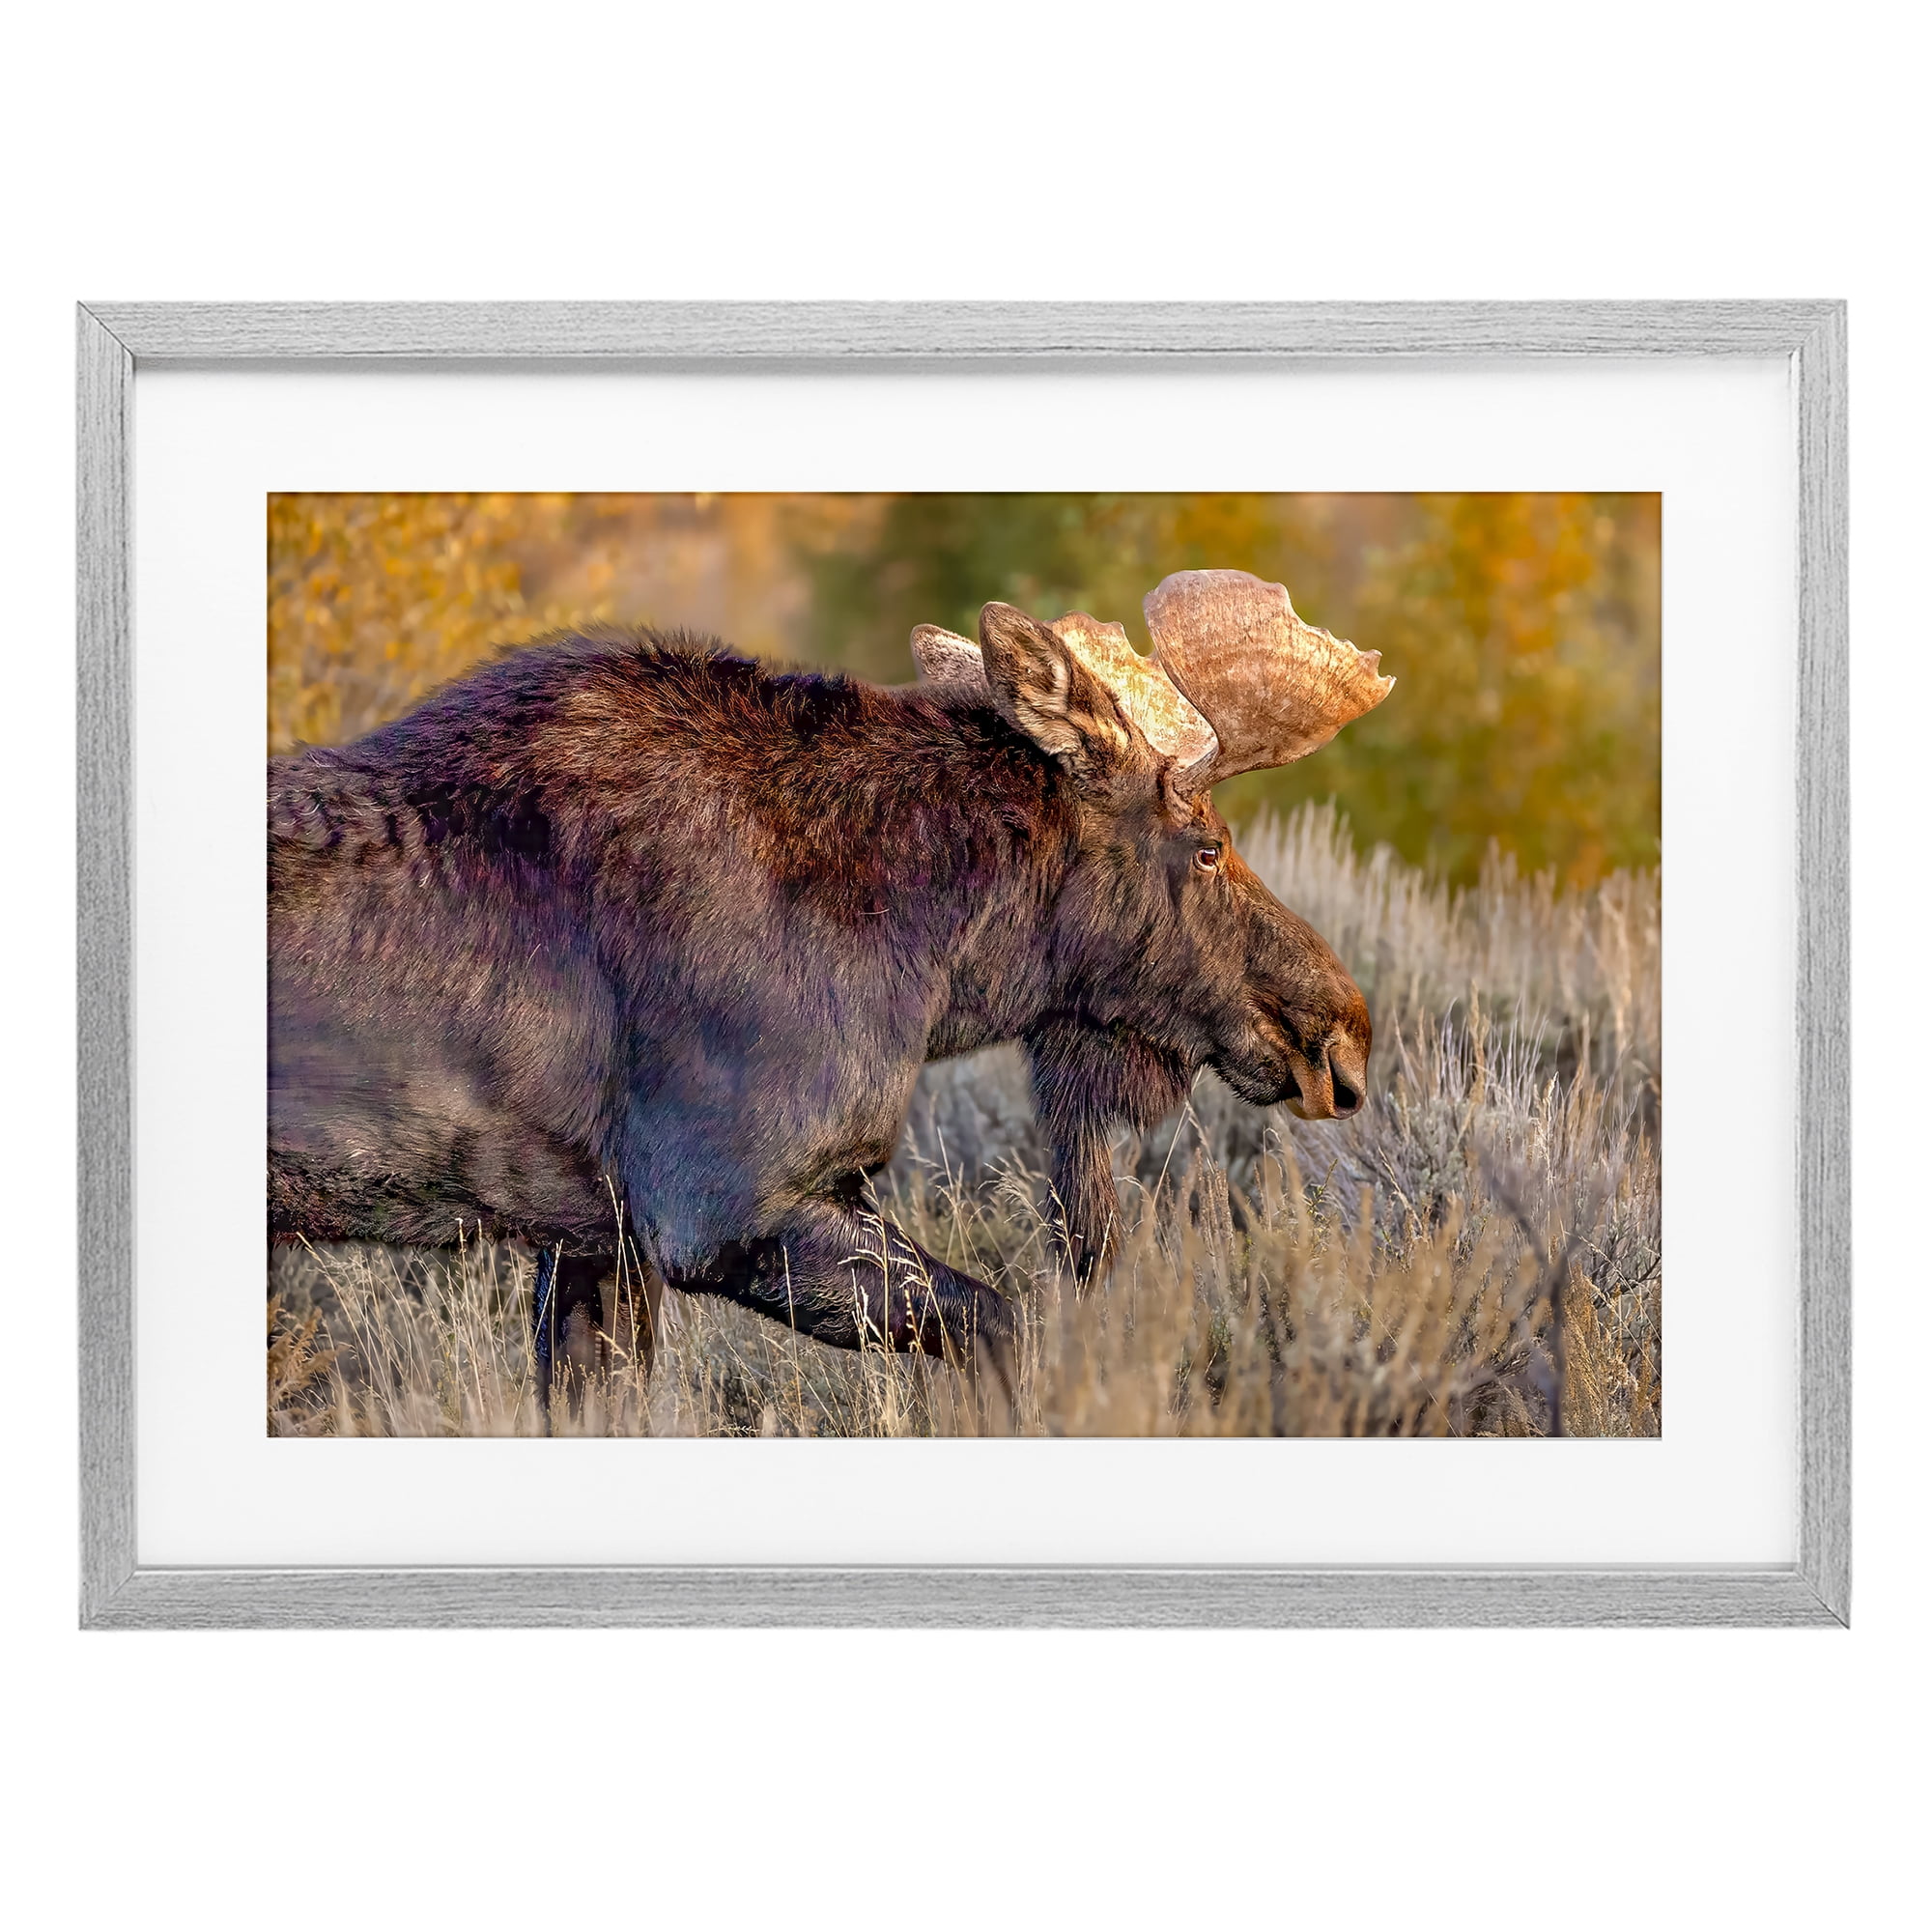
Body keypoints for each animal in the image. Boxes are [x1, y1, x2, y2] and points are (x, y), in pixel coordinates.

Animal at [268, 568, 1393, 1389]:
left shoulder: (595, 1238)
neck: (935, 962)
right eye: (1206, 846)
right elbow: (1009, 1328)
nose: (1340, 1029)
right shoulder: (726, 1206)